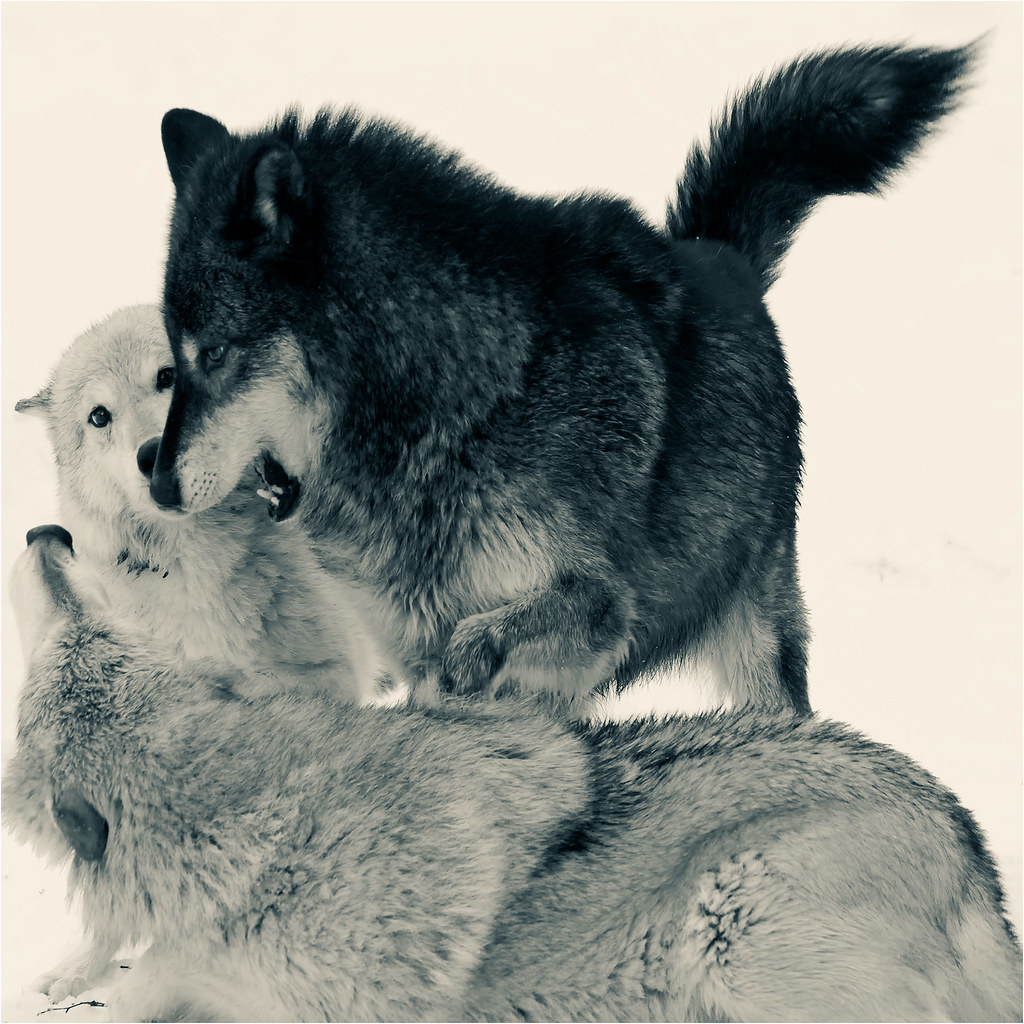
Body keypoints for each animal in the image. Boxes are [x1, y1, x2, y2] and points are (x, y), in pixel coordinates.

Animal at [147, 43, 974, 714]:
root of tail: (719, 257)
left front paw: (471, 662)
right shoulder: (405, 643)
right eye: (174, 360)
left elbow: (489, 639)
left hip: (758, 646)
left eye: (213, 354)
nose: (156, 483)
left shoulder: (602, 610)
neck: (460, 407)